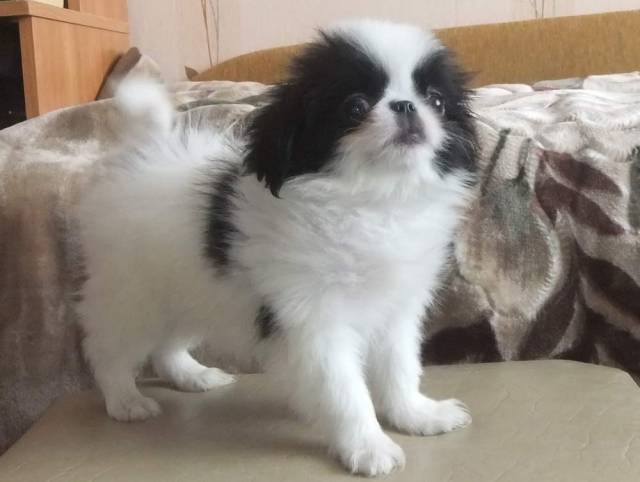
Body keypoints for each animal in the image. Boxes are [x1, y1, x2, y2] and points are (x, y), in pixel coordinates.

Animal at [75, 19, 477, 476]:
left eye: (436, 101)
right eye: (355, 106)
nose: (407, 105)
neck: (374, 201)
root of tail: (144, 155)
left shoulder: (397, 310)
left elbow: (400, 368)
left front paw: (416, 415)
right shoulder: (315, 319)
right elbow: (346, 390)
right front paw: (368, 446)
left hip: (189, 288)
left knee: (167, 346)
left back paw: (193, 376)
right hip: (135, 296)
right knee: (107, 347)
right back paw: (125, 399)